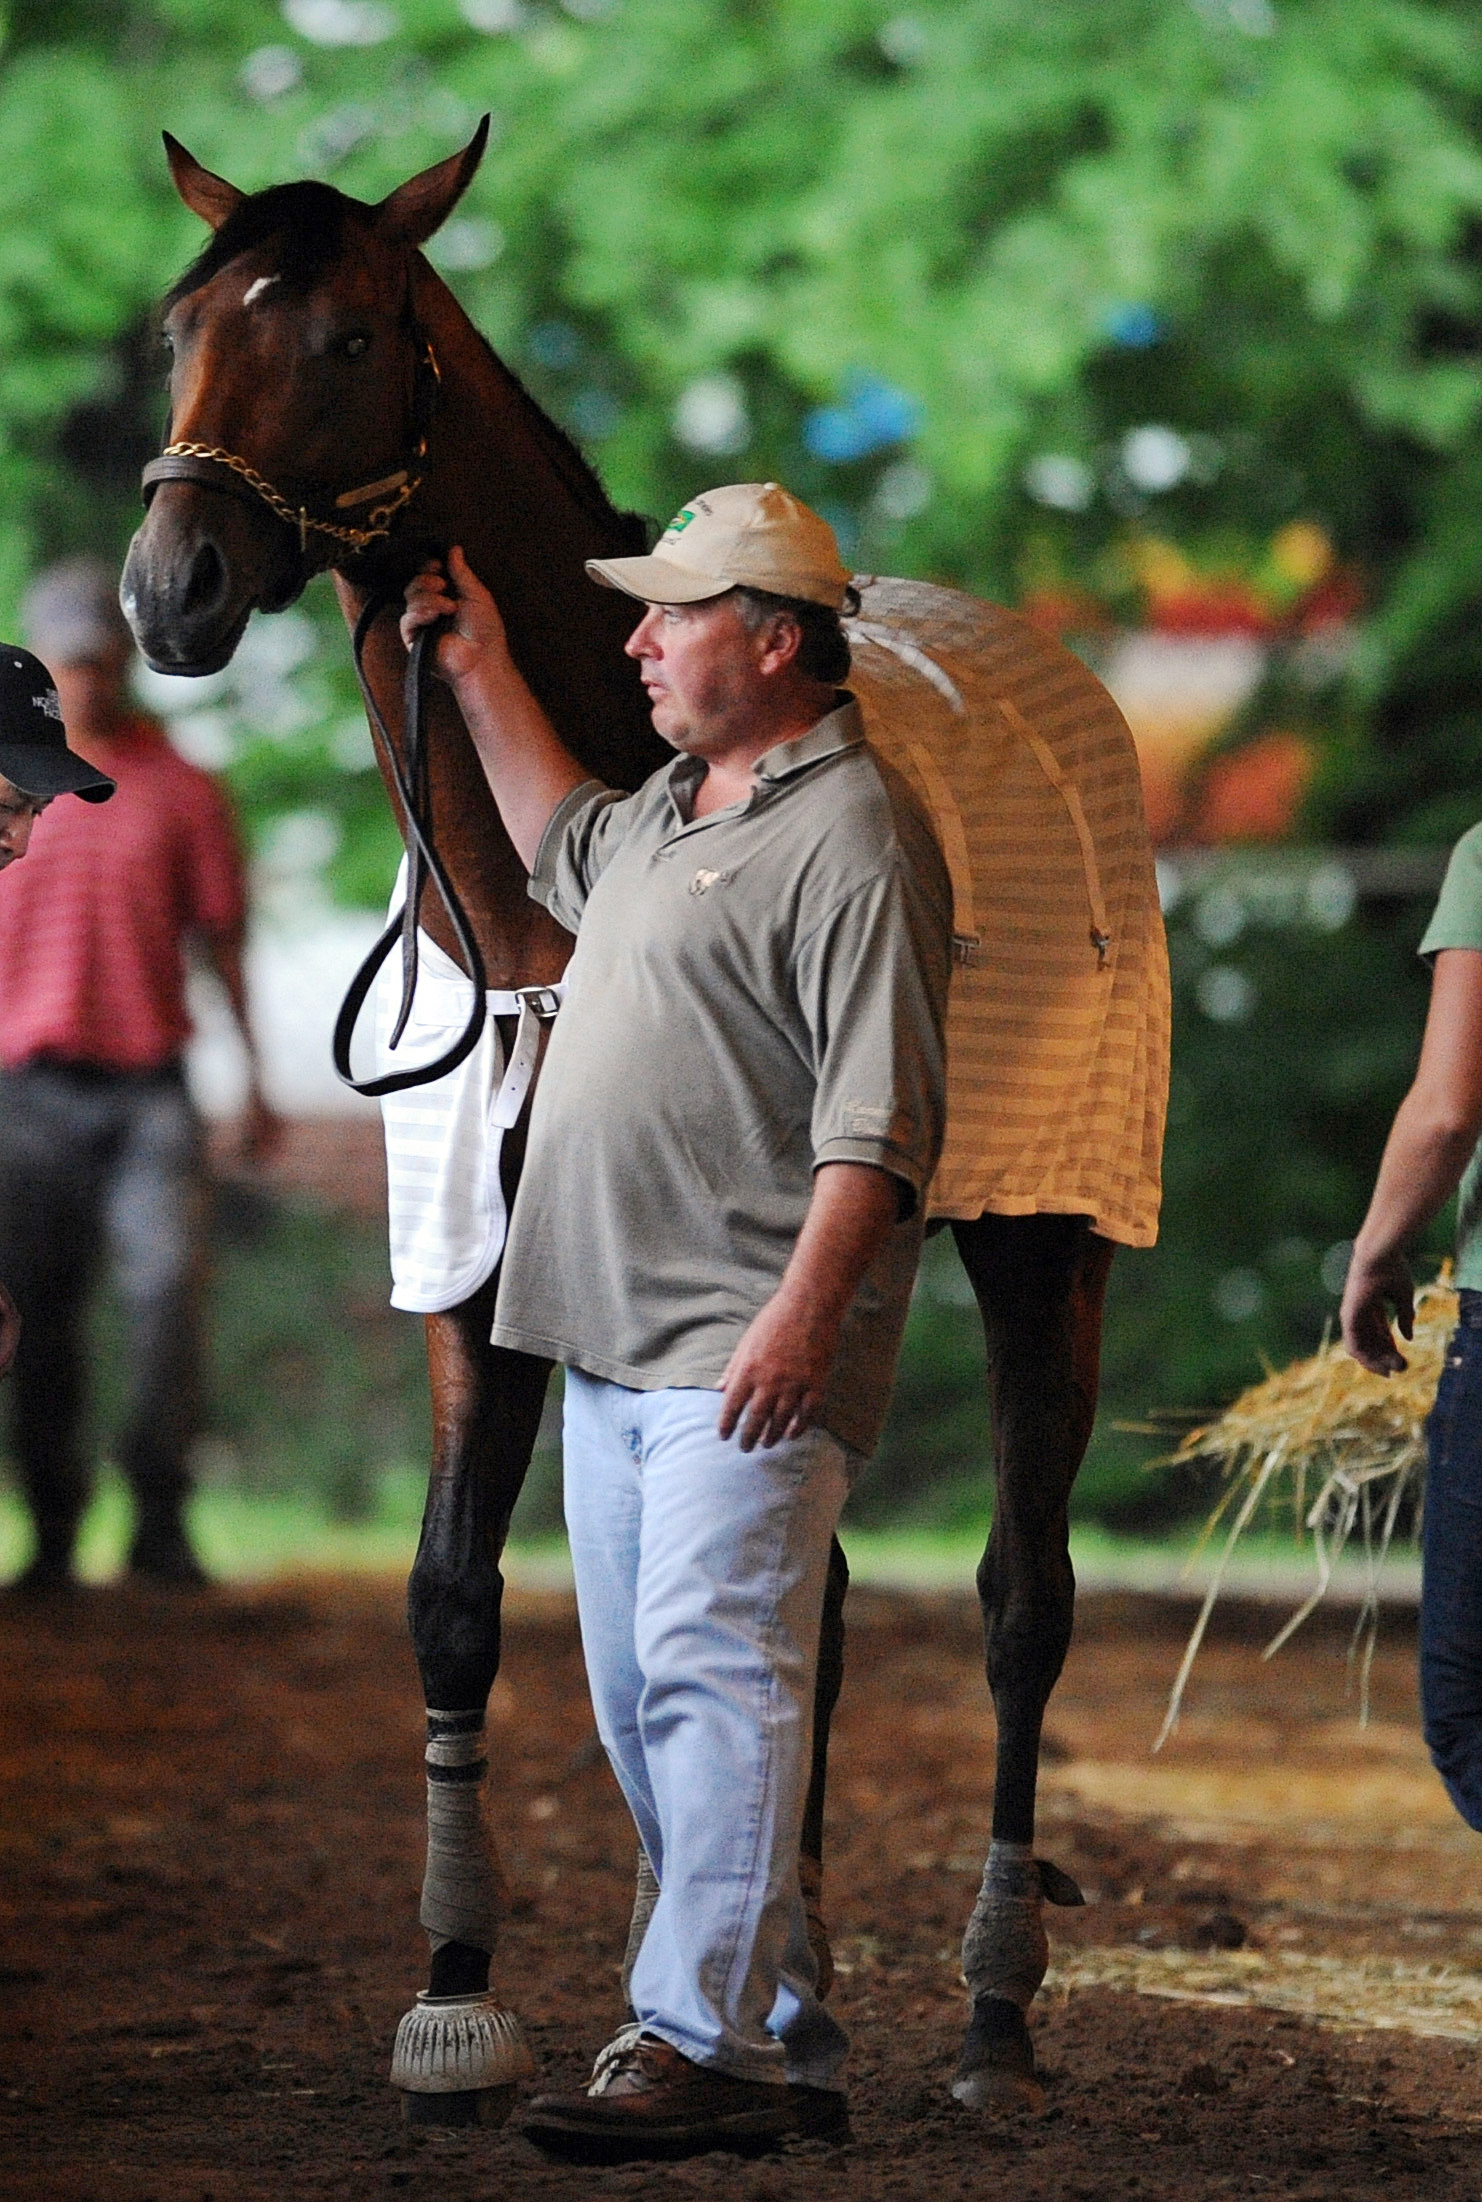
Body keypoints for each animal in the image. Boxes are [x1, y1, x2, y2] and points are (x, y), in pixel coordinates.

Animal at [121, 128, 1162, 2122]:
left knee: (1023, 1599)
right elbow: (457, 1595)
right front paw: (455, 1991)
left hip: (1044, 1236)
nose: (172, 586)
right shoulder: (478, 1262)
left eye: (350, 332)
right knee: (801, 1599)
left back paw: (991, 2012)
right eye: (180, 325)